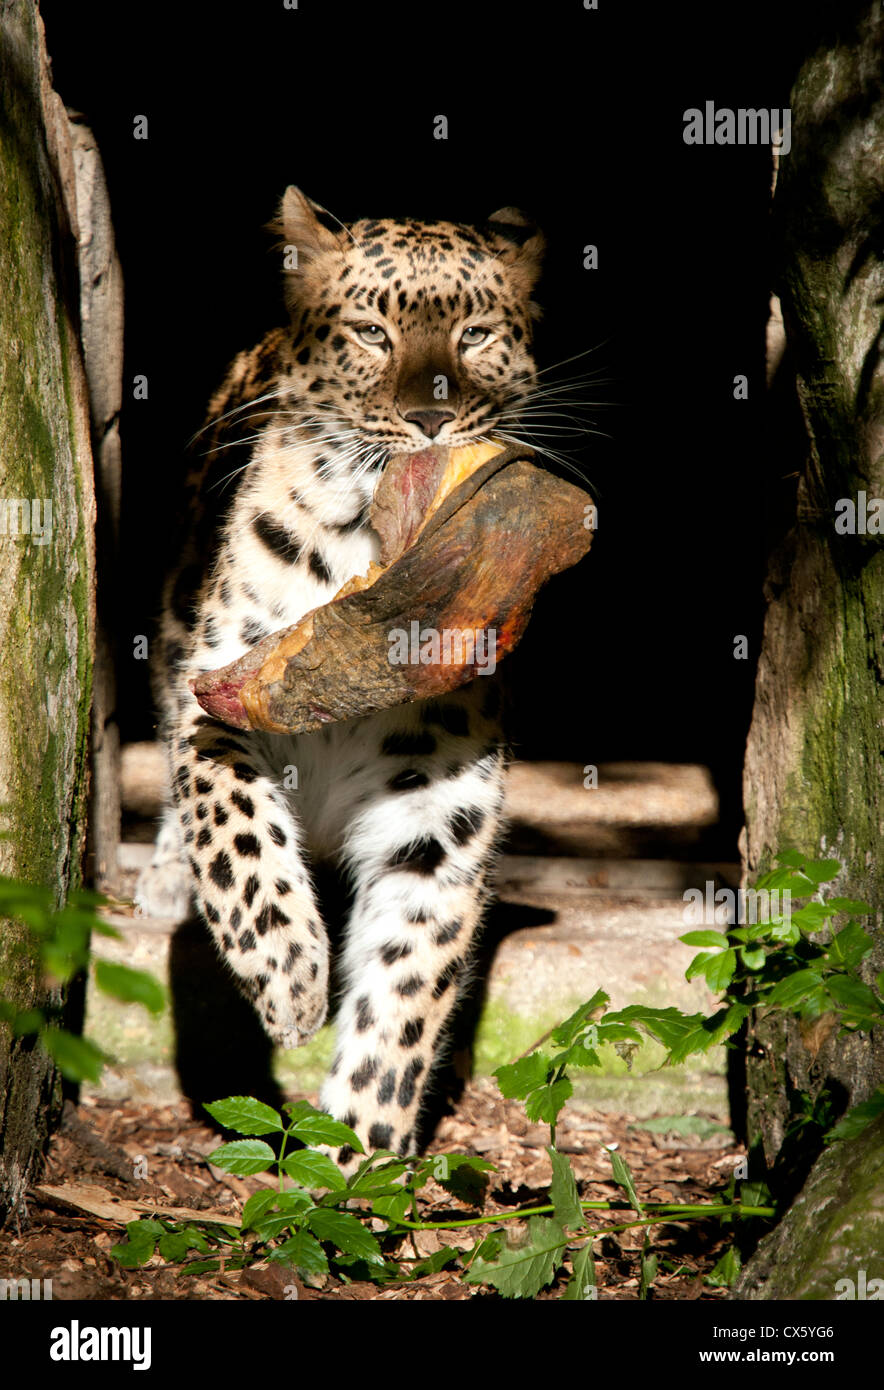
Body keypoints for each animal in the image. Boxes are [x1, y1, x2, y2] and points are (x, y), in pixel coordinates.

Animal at [135, 186, 546, 1166]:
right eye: (371, 333)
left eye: (476, 335)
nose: (432, 420)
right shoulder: (221, 698)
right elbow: (238, 839)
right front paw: (288, 979)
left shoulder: (439, 805)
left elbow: (405, 989)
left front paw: (357, 1155)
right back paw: (168, 875)